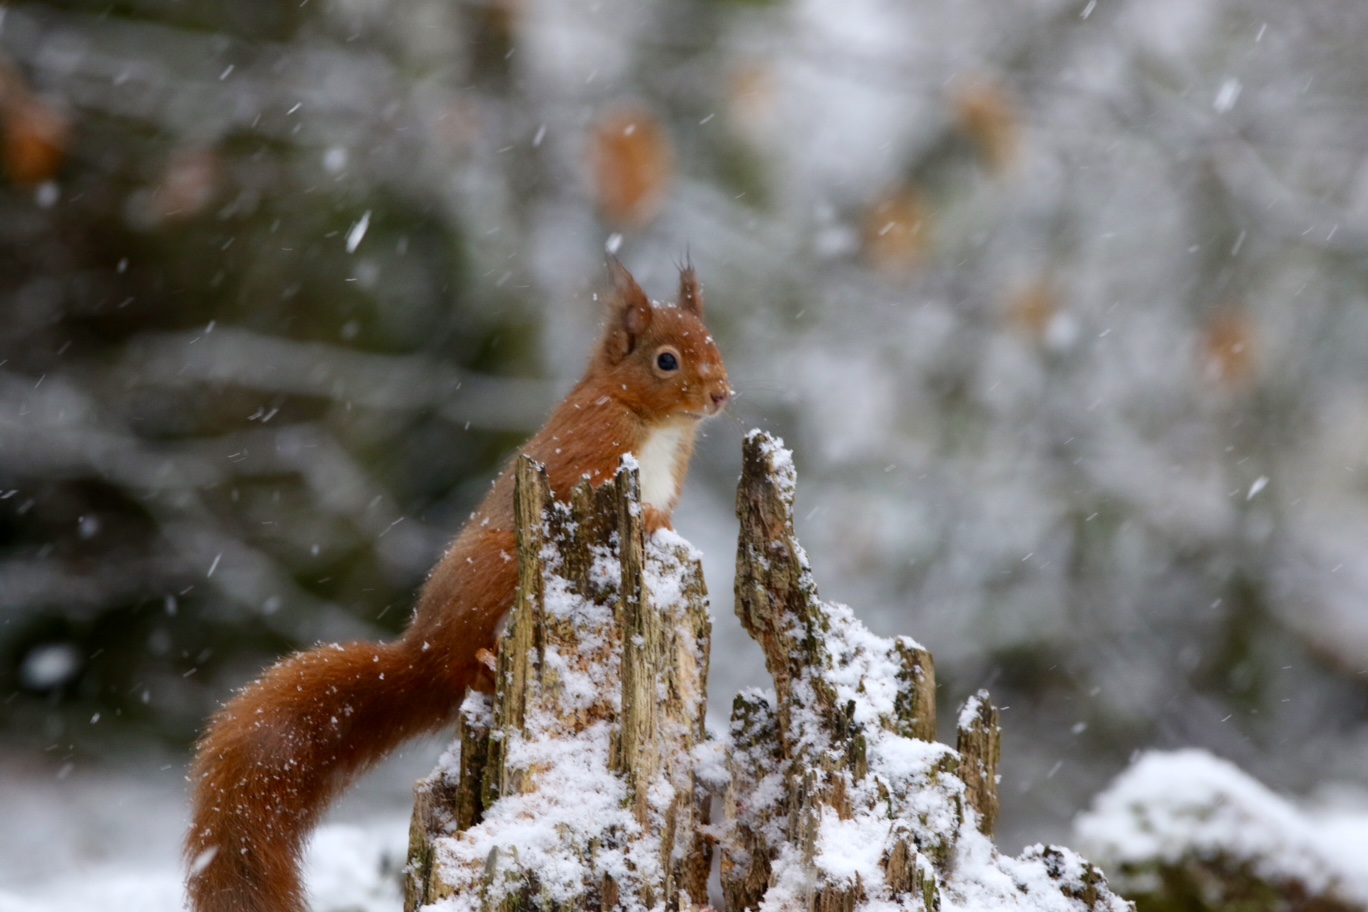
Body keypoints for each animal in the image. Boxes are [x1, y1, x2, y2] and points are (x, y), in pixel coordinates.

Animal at [187, 259, 733, 912]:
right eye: (666, 360)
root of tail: (421, 654)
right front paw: (645, 519)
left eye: (714, 346)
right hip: (494, 569)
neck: (656, 424)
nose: (722, 394)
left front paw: (661, 527)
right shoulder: (586, 450)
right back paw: (484, 662)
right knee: (465, 661)